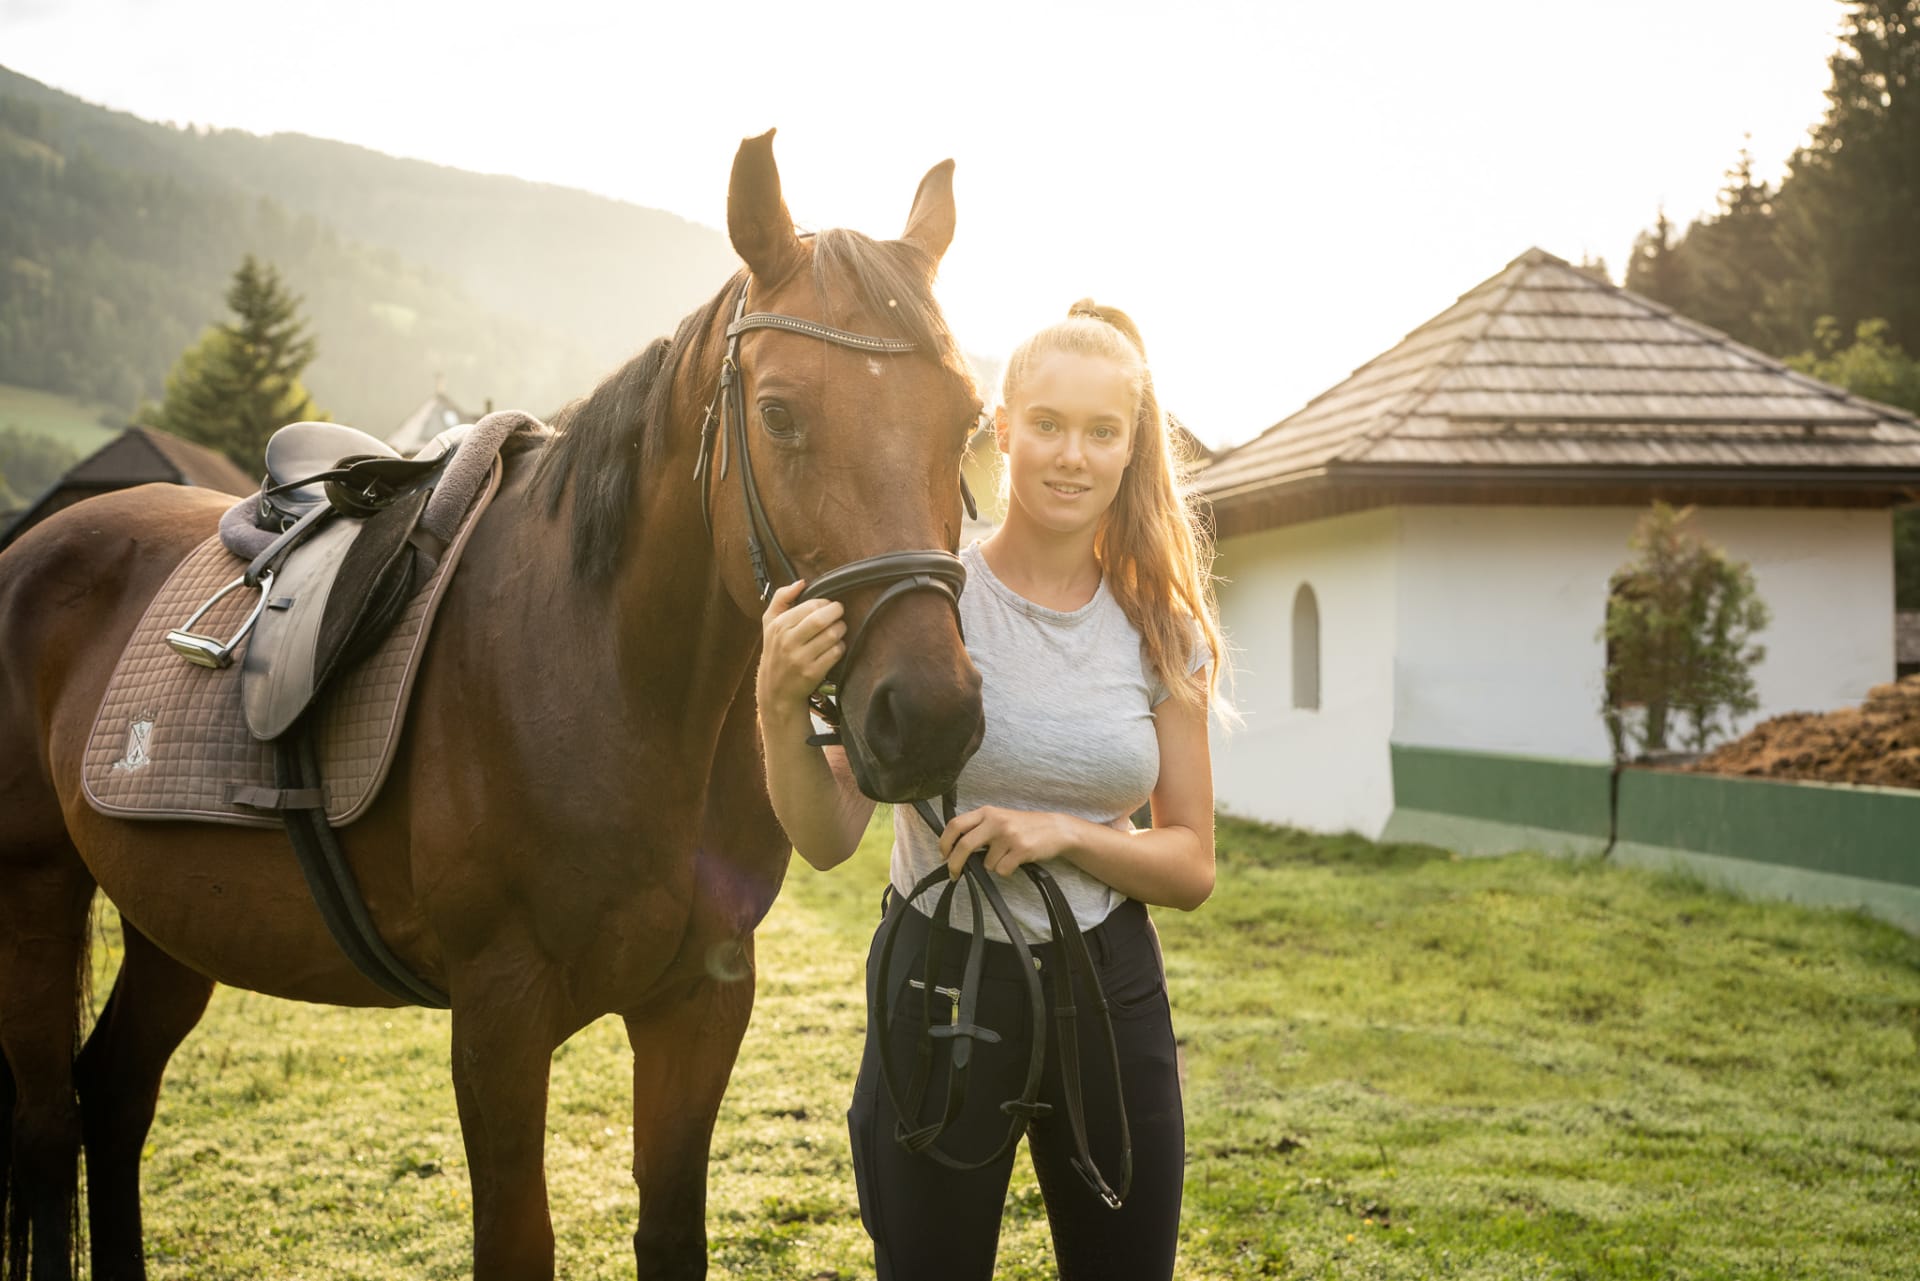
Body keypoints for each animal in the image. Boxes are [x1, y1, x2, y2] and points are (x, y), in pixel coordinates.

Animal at [0, 129, 987, 1281]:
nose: (930, 716)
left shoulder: (701, 1001)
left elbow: (672, 1231)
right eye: (781, 413)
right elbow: (517, 1242)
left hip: (174, 921)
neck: (610, 677)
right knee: (46, 1126)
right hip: (35, 894)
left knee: (113, 1097)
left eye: (970, 419)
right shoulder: (499, 1020)